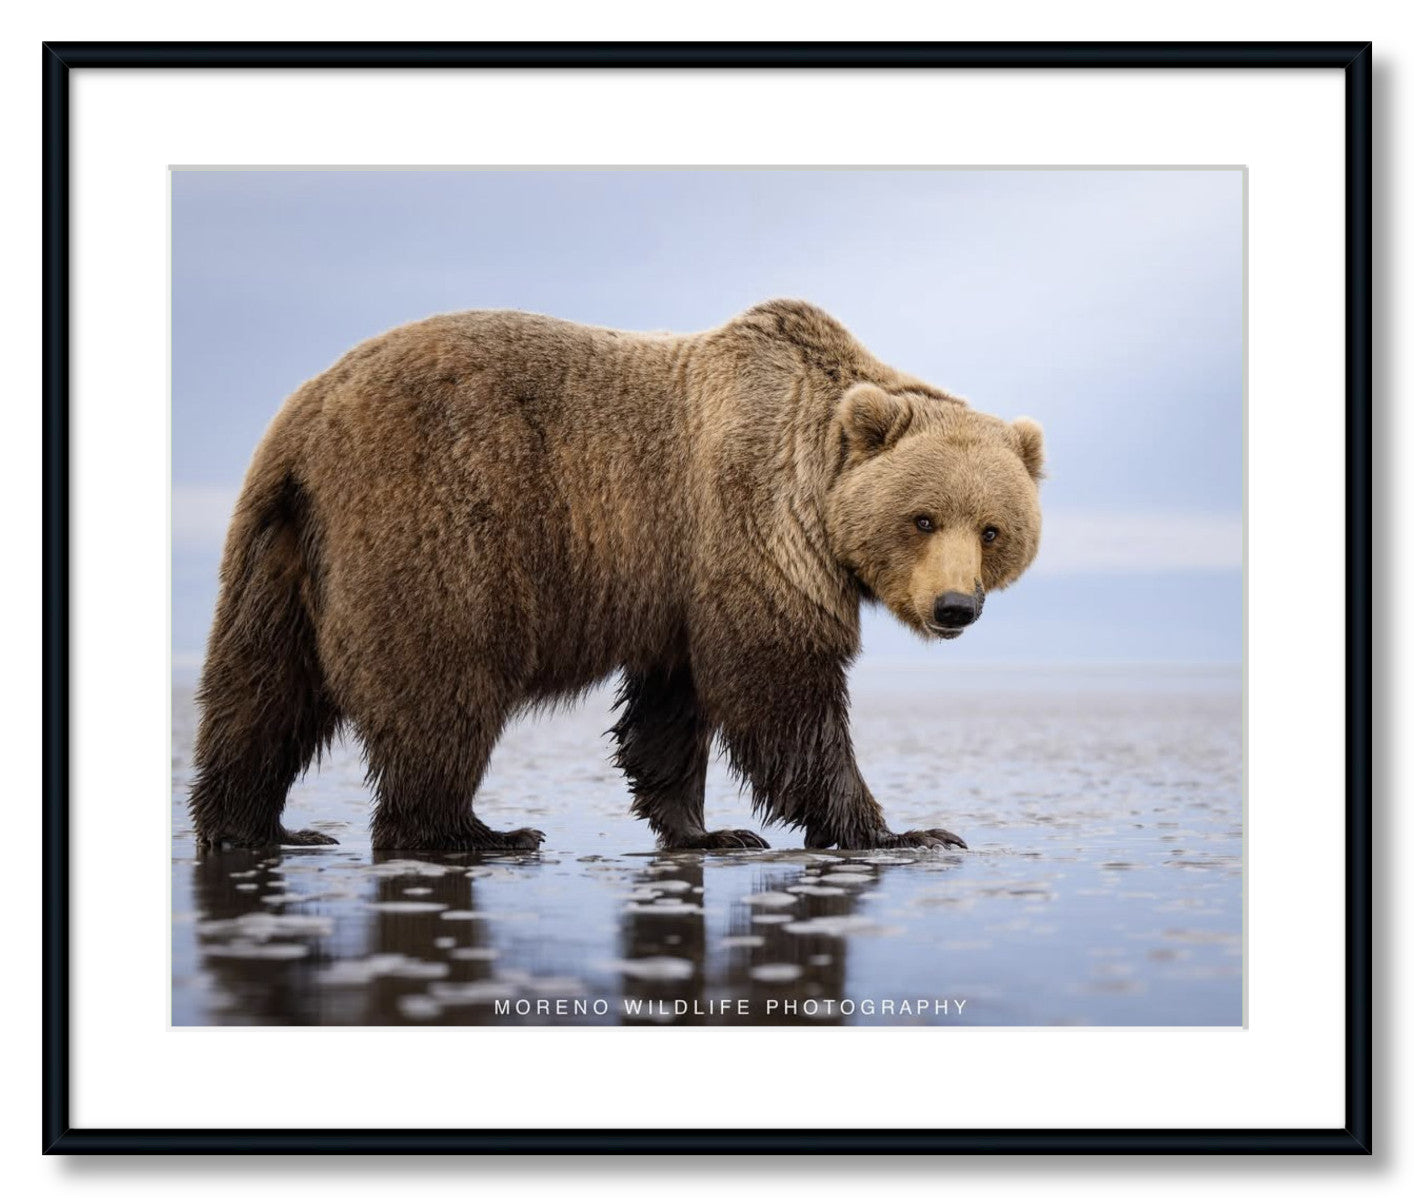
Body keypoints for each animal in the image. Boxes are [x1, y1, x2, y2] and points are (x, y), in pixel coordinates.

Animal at [189, 299, 1044, 854]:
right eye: (923, 518)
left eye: (993, 529)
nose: (955, 606)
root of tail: (307, 419)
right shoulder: (750, 526)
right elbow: (780, 688)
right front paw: (905, 831)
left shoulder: (677, 581)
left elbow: (673, 706)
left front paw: (707, 830)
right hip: (434, 520)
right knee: (441, 685)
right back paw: (473, 831)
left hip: (279, 549)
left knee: (262, 690)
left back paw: (257, 825)